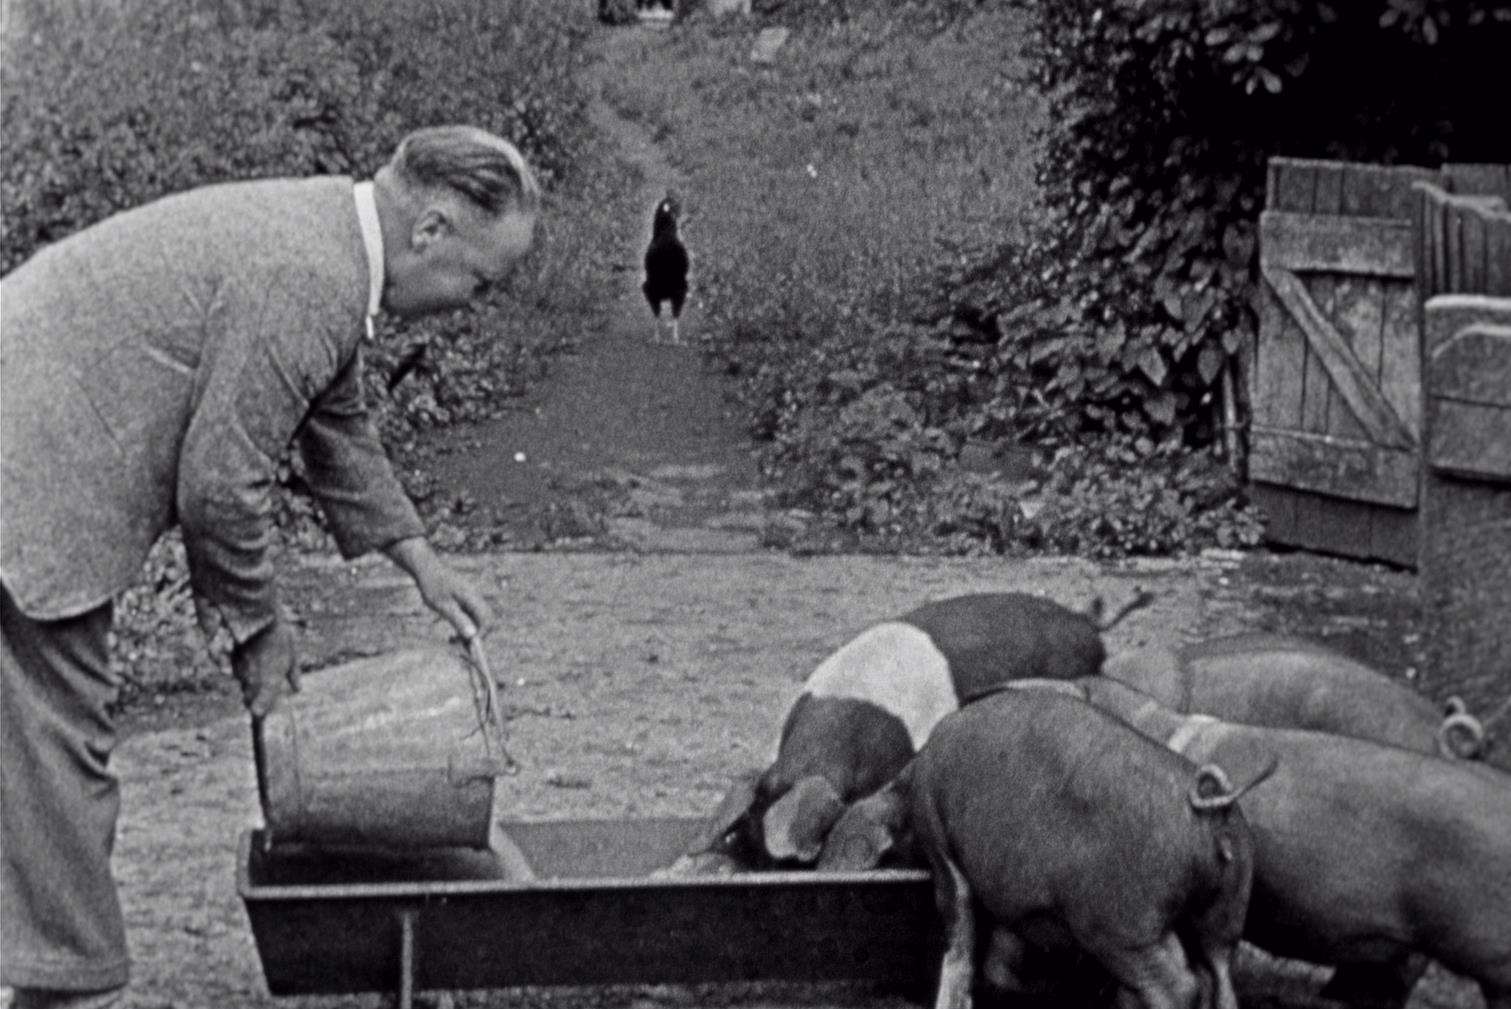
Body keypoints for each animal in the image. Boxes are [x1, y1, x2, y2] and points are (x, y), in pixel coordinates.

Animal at [828, 694, 1263, 1009]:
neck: (909, 785)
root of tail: (1207, 807)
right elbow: (999, 960)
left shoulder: (942, 849)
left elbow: (959, 943)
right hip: (1225, 911)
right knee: (1218, 980)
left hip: (1122, 925)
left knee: (1178, 987)